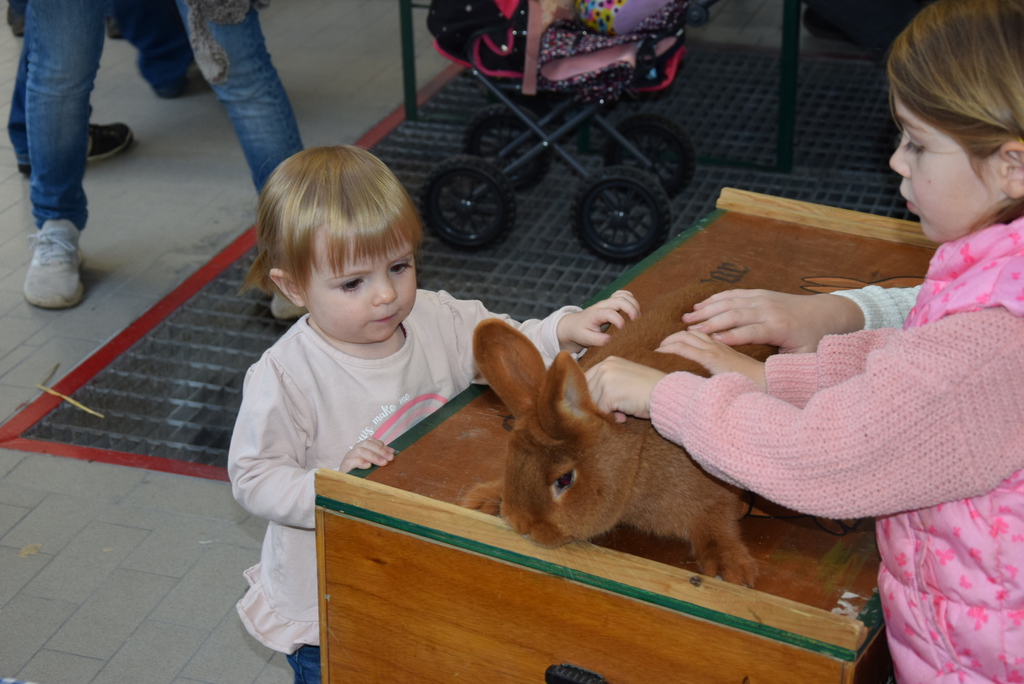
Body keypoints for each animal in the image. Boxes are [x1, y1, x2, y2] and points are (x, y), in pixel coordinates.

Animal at [460, 282, 769, 586]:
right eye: (510, 459)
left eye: (564, 480)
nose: (521, 524)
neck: (634, 461)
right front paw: (482, 499)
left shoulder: (713, 489)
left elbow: (717, 521)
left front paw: (731, 570)